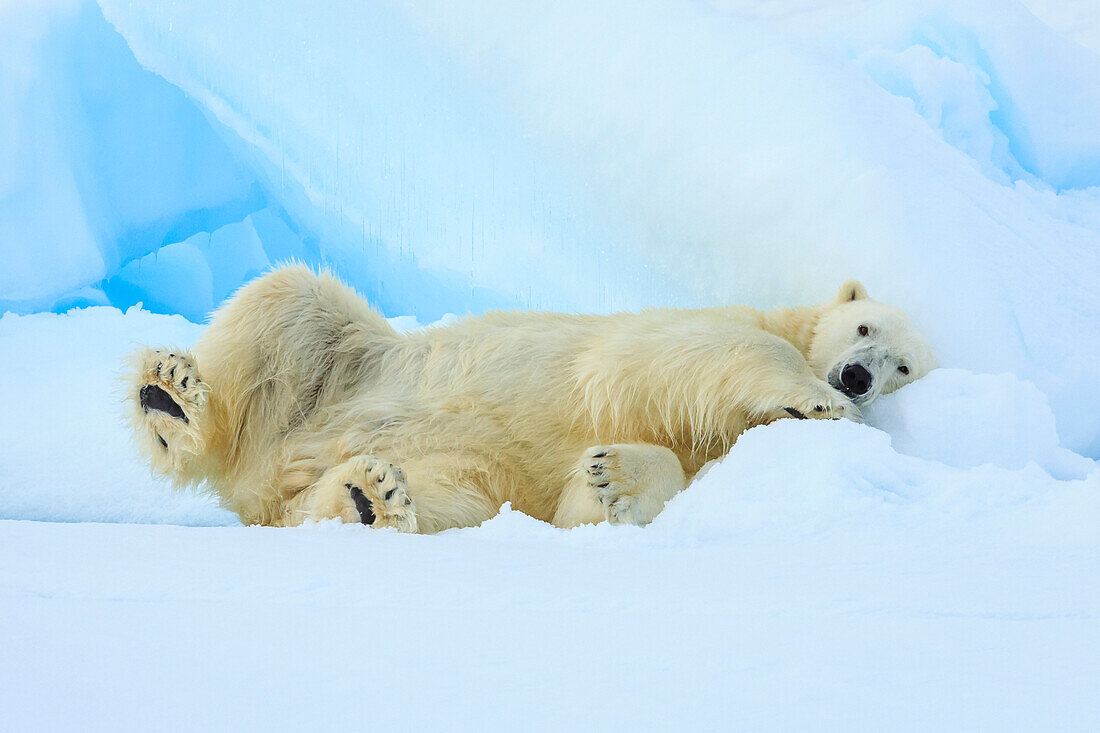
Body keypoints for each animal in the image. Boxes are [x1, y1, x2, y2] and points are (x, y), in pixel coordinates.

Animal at [128, 263, 937, 530]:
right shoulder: (703, 327)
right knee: (292, 300)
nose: (857, 377)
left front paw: (611, 479)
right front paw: (814, 398)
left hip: (455, 472)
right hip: (348, 367)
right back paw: (172, 401)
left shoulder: (723, 447)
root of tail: (265, 474)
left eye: (904, 366)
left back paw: (366, 498)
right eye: (863, 327)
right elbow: (674, 356)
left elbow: (673, 477)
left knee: (443, 499)